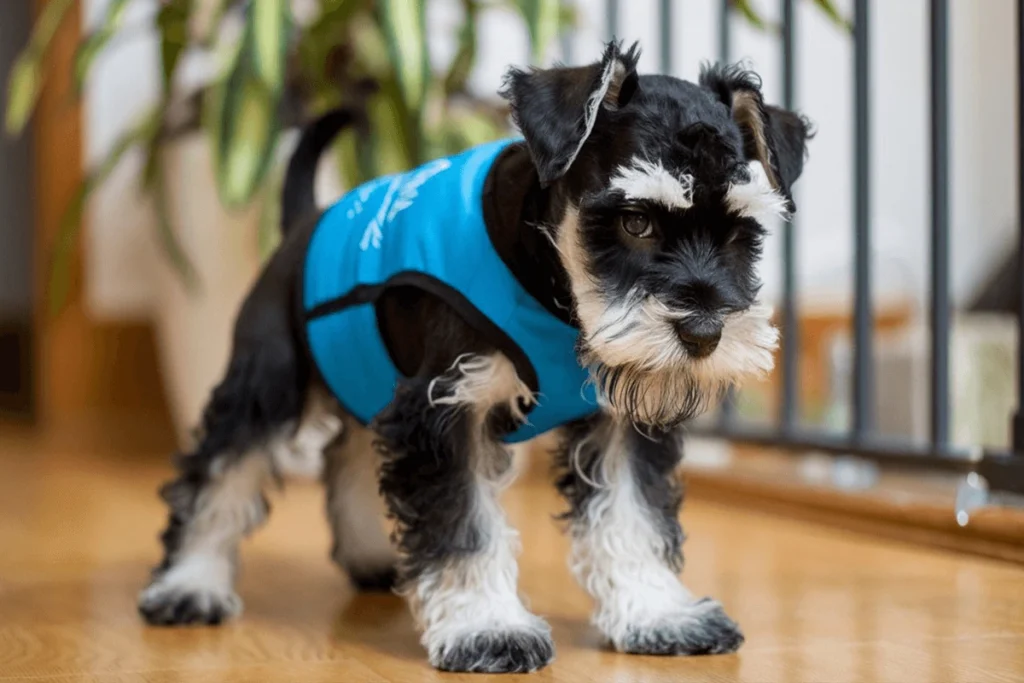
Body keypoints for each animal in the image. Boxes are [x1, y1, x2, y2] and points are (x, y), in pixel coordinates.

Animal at [138, 40, 806, 675]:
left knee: (345, 454)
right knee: (220, 472)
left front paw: (658, 614)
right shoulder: (444, 411)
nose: (703, 332)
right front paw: (486, 627)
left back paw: (368, 555)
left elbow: (633, 515)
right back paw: (189, 585)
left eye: (741, 230)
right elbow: (466, 527)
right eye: (635, 221)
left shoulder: (620, 423)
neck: (550, 286)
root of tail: (303, 223)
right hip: (267, 382)